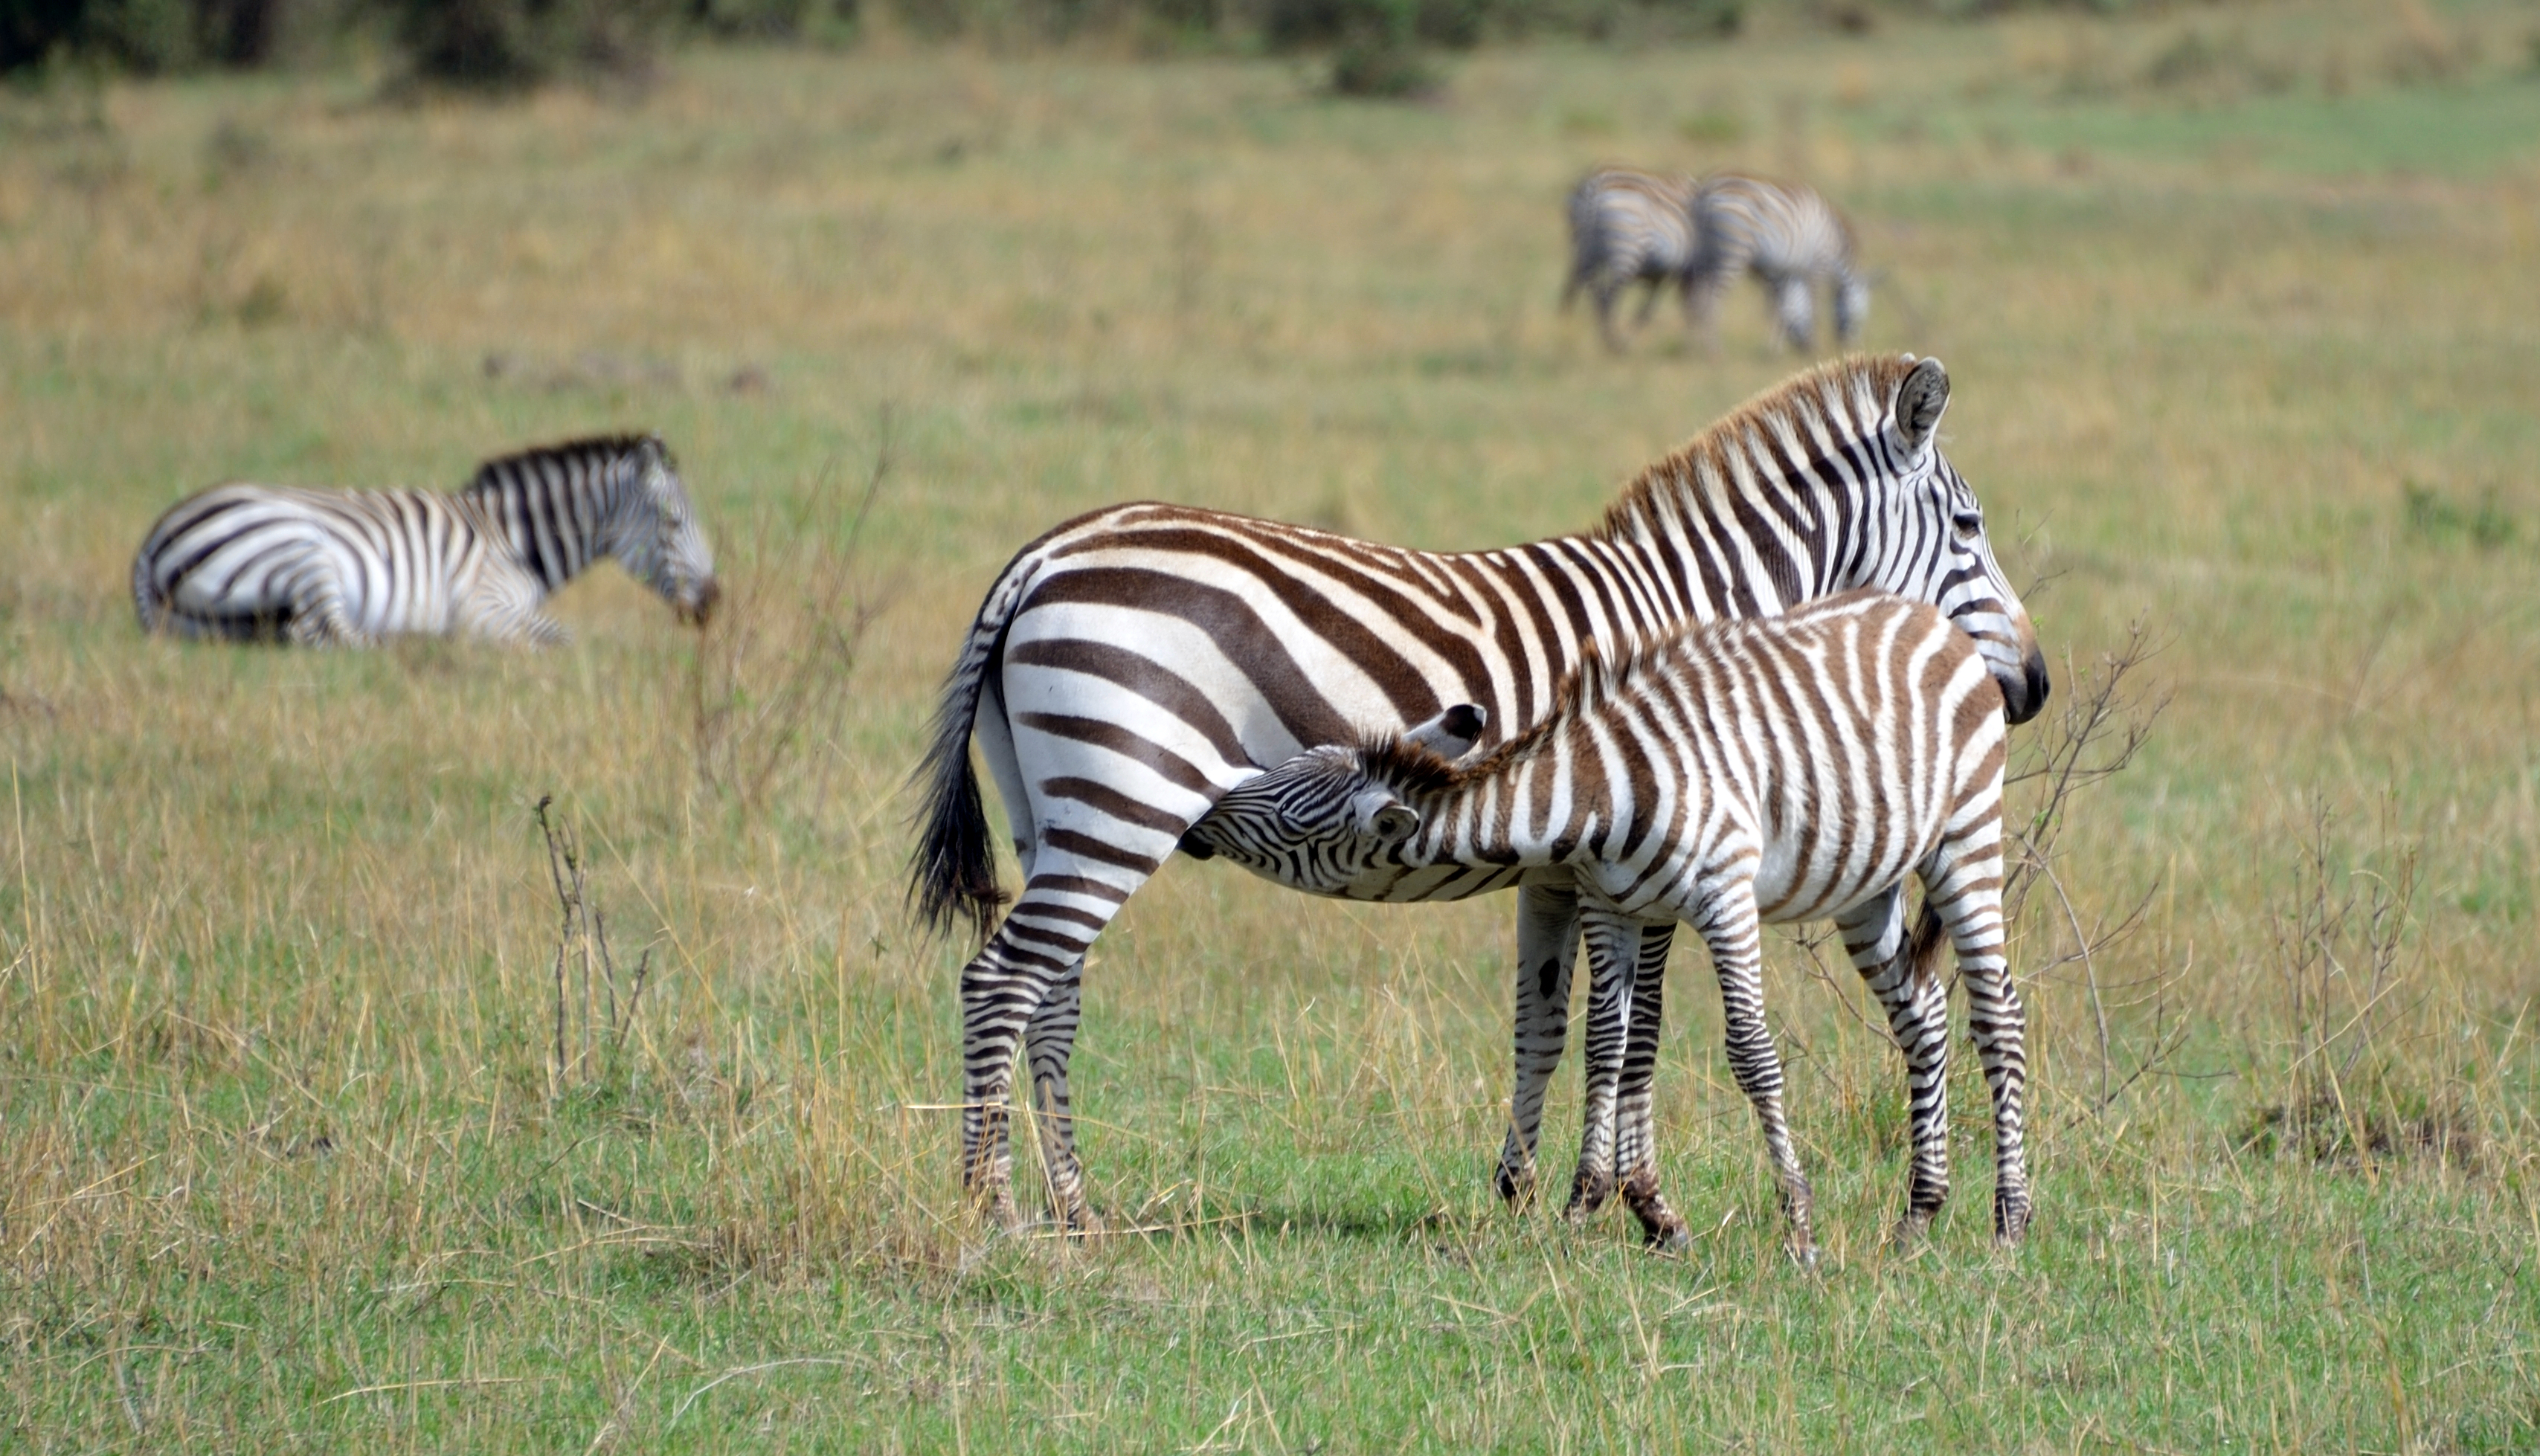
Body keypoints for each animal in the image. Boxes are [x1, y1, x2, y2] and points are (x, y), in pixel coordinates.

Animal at [135, 431, 721, 648]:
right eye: (672, 524)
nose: (714, 603)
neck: (513, 540)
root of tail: (151, 539)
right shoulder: (485, 606)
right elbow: (561, 637)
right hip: (301, 548)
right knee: (324, 634)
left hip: (214, 617)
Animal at [1178, 584, 2032, 1255]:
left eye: (1290, 816)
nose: (1195, 819)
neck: (1601, 792)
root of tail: (1928, 617)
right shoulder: (1610, 903)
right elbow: (1605, 1044)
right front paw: (1583, 1203)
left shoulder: (1724, 894)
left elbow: (1749, 1051)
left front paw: (1798, 1223)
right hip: (1867, 881)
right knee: (1922, 1015)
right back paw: (1919, 1214)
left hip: (1965, 838)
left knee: (1997, 1015)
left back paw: (2009, 1220)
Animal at [1554, 165, 1697, 355]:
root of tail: (1596, 184)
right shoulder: (1674, 273)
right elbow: (1667, 307)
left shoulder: (1660, 276)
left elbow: (1647, 309)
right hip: (1625, 250)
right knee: (1607, 296)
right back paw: (1612, 343)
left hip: (1582, 249)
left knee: (1575, 289)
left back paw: (1564, 329)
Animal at [1697, 173, 1880, 355]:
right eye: (1862, 315)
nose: (1850, 346)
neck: (1836, 241)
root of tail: (1708, 188)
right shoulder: (1817, 266)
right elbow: (1813, 307)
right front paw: (1813, 345)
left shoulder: (1784, 271)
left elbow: (1782, 307)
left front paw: (1777, 347)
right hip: (1734, 250)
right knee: (1711, 299)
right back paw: (1714, 350)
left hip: (1707, 254)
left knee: (1698, 297)